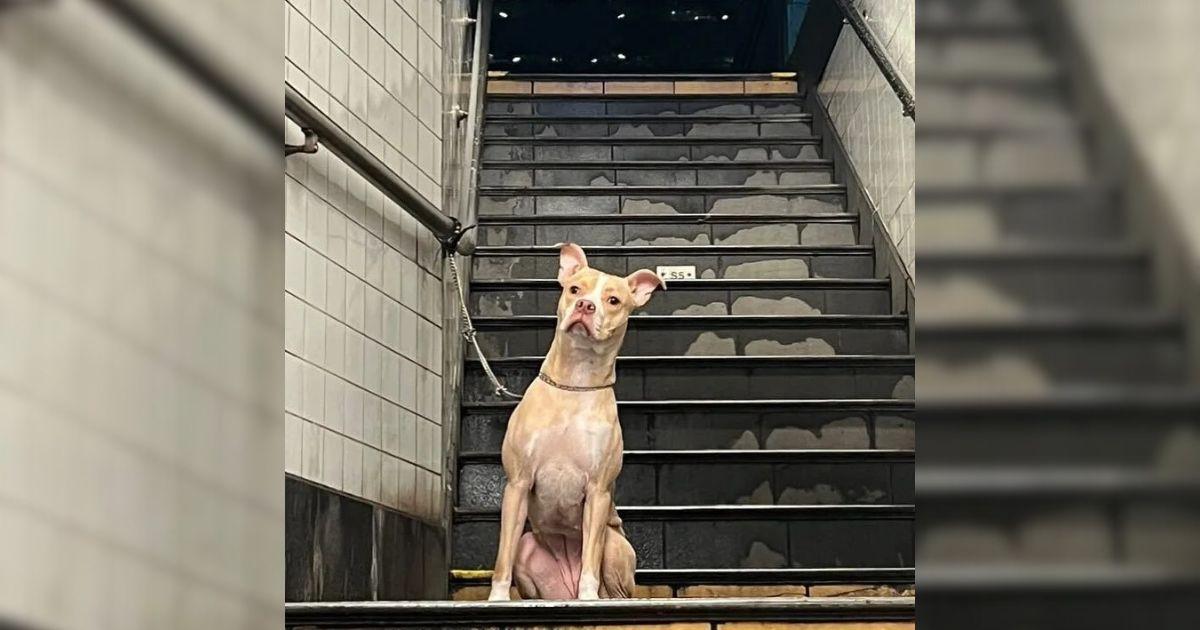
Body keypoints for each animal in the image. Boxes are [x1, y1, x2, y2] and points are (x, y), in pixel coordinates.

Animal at [484, 242, 667, 600]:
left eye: (614, 300)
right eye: (574, 289)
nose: (585, 305)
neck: (576, 381)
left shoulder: (597, 491)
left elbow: (590, 560)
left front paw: (588, 598)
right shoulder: (517, 483)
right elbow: (502, 555)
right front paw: (497, 598)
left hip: (614, 547)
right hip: (529, 548)